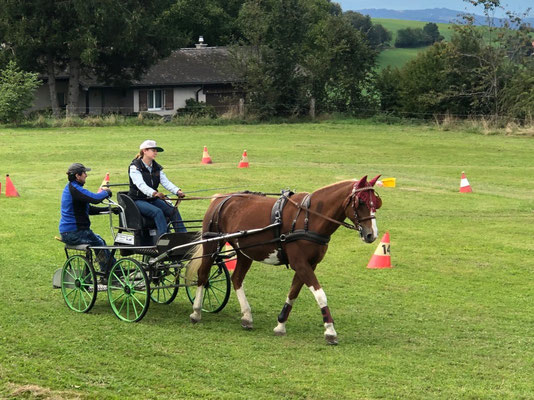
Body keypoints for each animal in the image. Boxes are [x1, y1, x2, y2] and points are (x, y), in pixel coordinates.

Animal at [186, 175, 384, 344]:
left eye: (376, 203)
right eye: (361, 202)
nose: (371, 235)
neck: (309, 217)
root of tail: (220, 199)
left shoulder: (309, 264)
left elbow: (293, 293)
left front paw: (280, 325)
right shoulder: (301, 264)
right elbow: (320, 294)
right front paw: (330, 331)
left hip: (244, 252)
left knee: (236, 279)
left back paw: (247, 316)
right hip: (212, 244)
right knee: (203, 275)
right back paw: (196, 312)